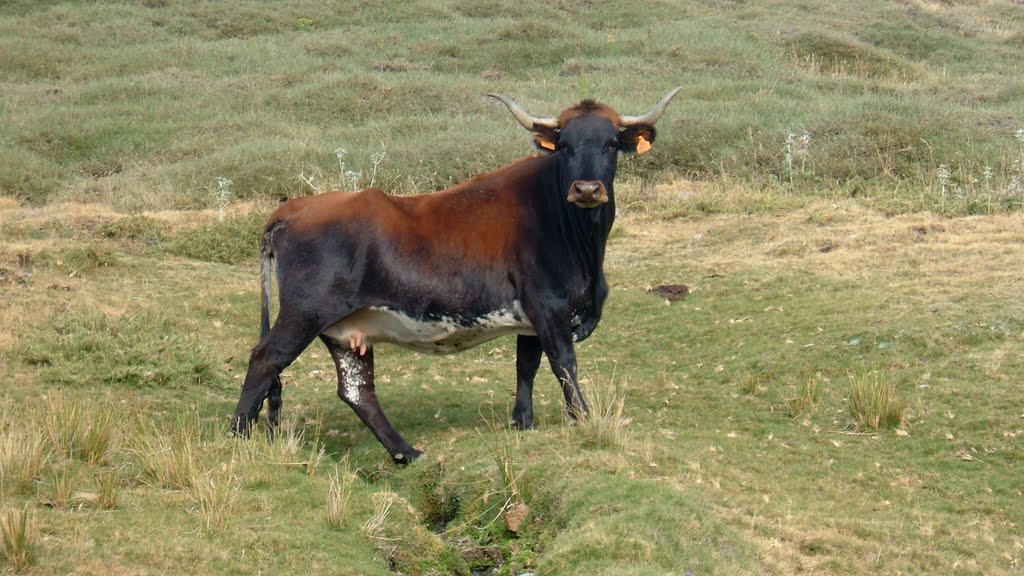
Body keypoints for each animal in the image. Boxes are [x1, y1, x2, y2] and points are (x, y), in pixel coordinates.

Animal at [232, 86, 679, 461]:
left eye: (610, 144)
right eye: (565, 145)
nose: (586, 189)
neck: (578, 239)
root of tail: (291, 209)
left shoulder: (530, 317)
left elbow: (527, 365)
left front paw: (523, 422)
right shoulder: (548, 306)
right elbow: (564, 363)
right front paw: (583, 418)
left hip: (345, 330)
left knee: (357, 391)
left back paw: (407, 453)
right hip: (305, 313)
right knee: (266, 360)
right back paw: (237, 435)